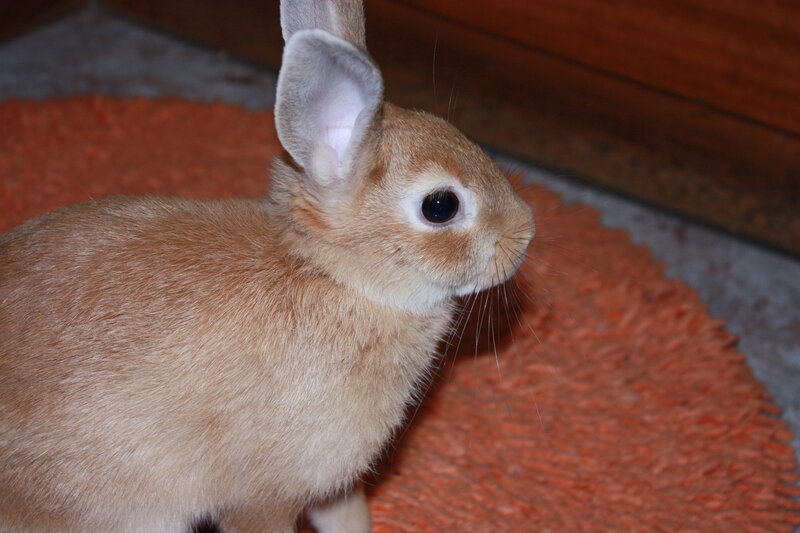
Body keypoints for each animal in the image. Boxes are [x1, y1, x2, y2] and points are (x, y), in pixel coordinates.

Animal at [0, 0, 534, 532]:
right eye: (441, 206)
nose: (525, 231)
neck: (334, 277)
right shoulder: (262, 498)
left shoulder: (332, 483)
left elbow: (351, 517)